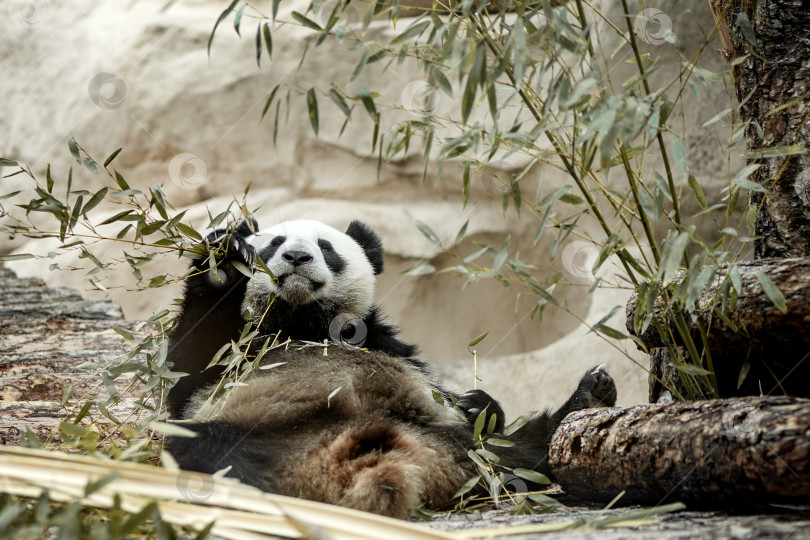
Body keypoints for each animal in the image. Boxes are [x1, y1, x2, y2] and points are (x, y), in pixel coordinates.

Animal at [166, 217, 620, 516]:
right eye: (273, 243)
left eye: (325, 247)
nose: (296, 256)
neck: (300, 320)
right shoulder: (237, 350)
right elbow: (186, 375)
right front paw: (223, 262)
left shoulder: (374, 339)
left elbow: (451, 395)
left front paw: (478, 403)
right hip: (252, 434)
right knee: (201, 446)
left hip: (443, 442)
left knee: (508, 451)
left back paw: (586, 401)